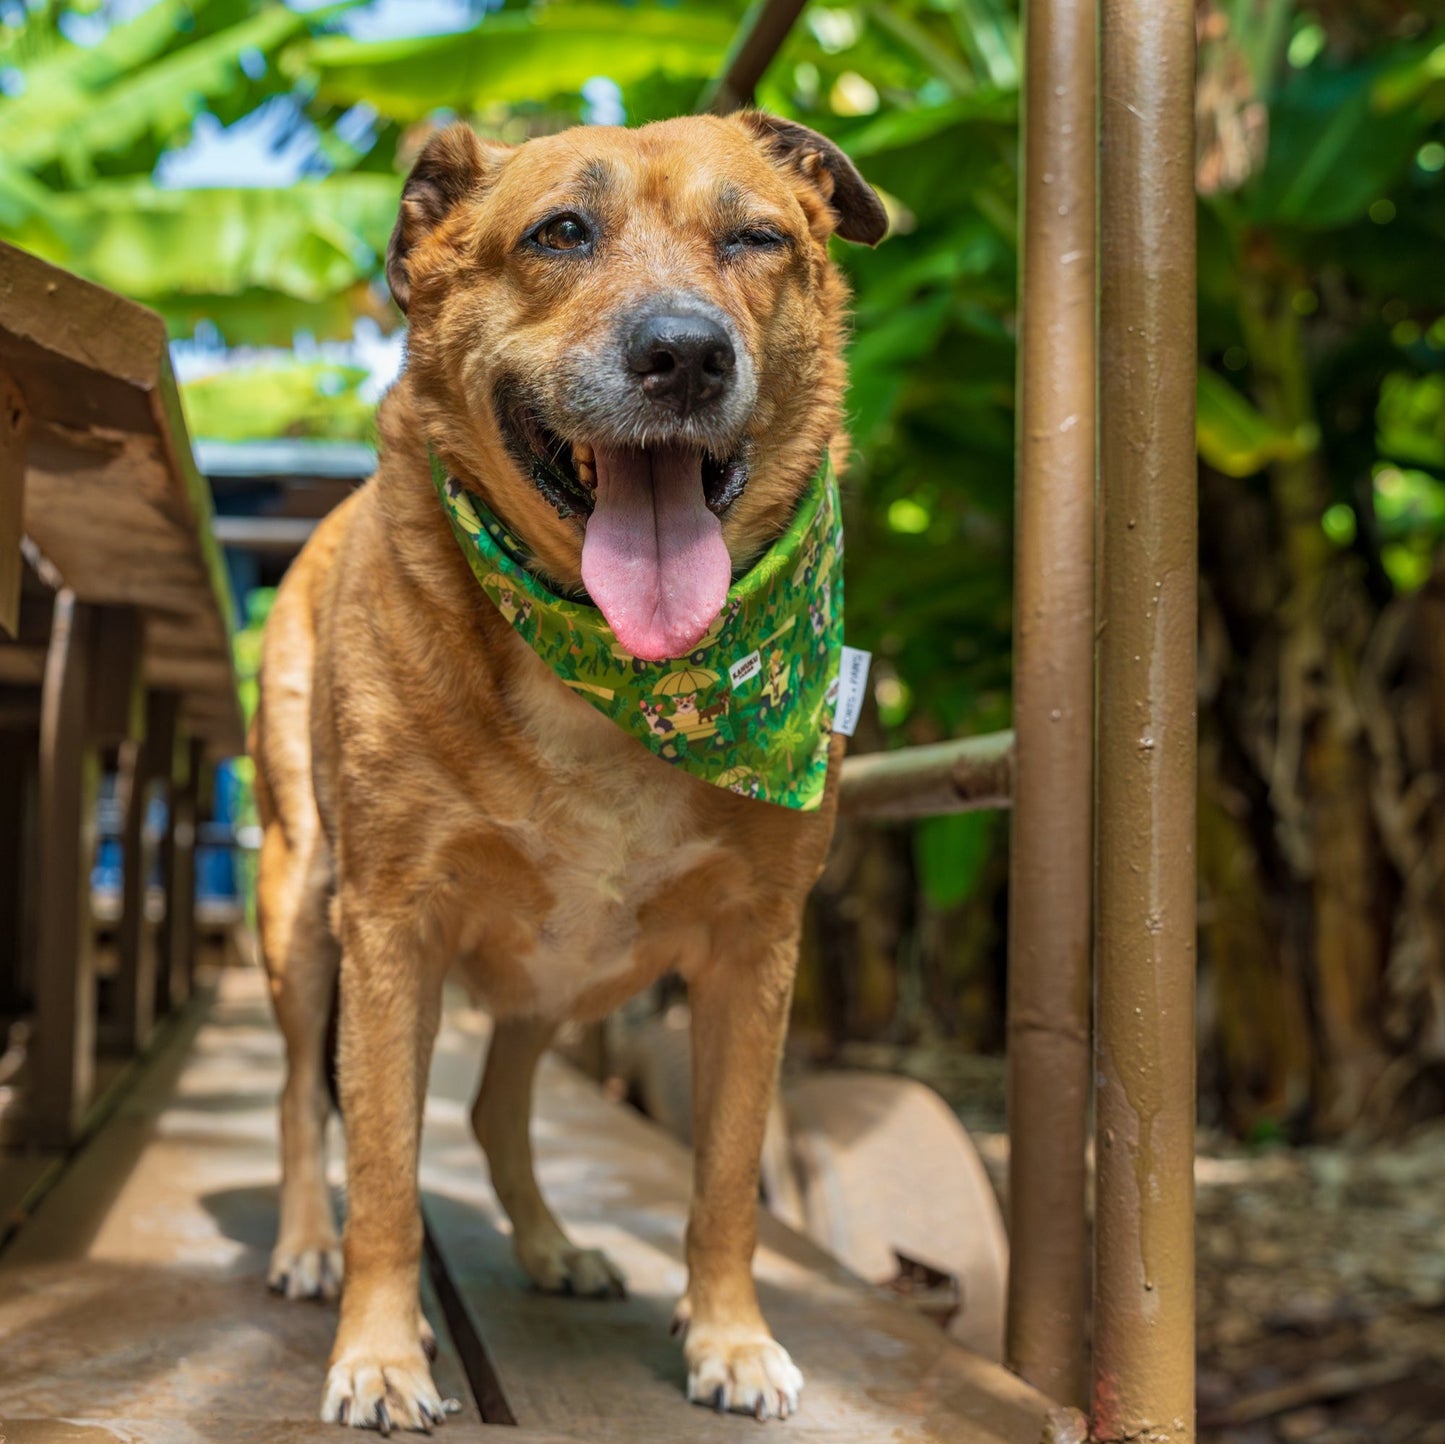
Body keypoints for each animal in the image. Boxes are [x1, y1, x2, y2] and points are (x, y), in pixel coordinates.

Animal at [254, 115, 884, 1433]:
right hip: (296, 907)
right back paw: (305, 1246)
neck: (619, 670)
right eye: (559, 234)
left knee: (494, 1108)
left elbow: (728, 1177)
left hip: (557, 975)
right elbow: (382, 1167)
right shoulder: (389, 930)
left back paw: (550, 1246)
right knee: (299, 1094)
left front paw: (730, 1335)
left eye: (755, 238)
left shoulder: (755, 949)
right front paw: (378, 1351)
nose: (685, 356)